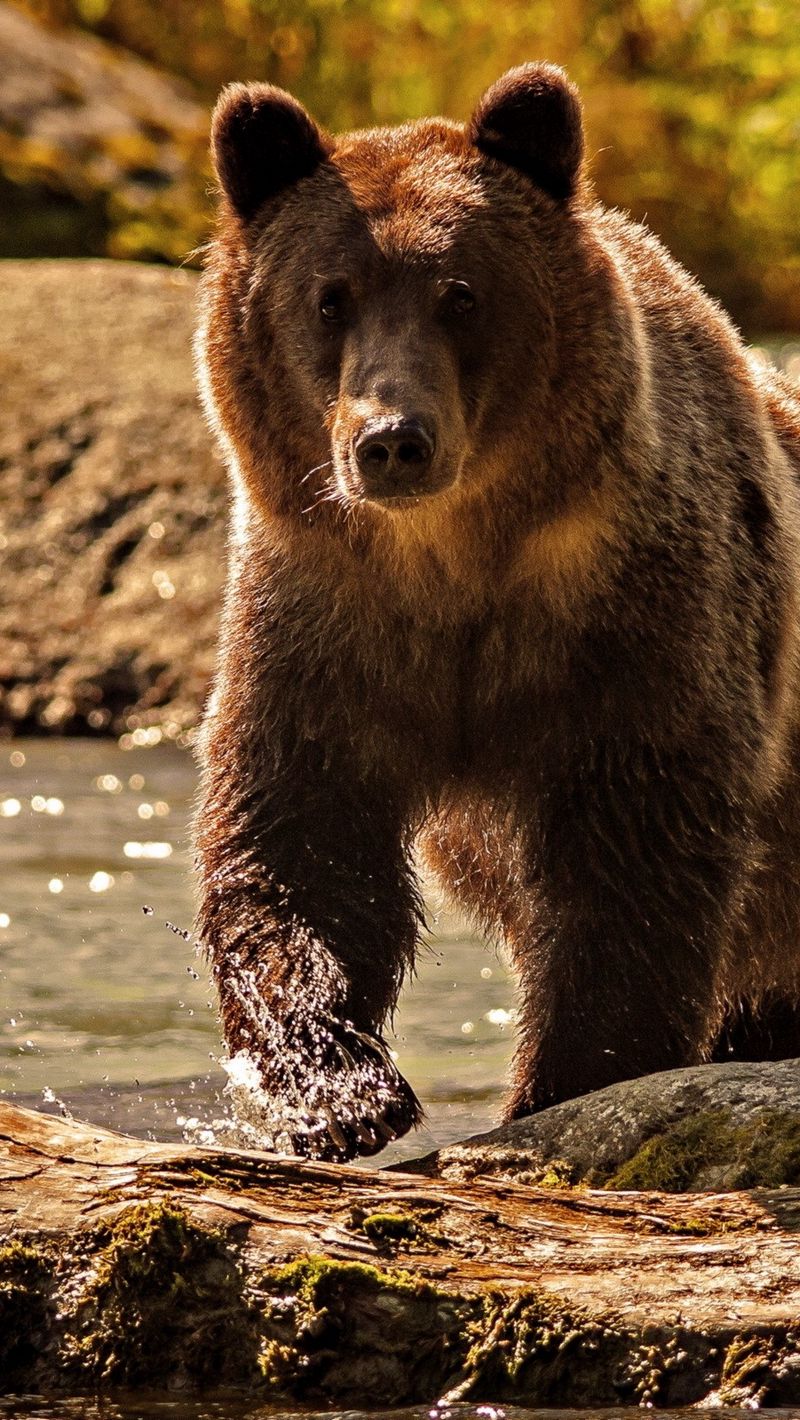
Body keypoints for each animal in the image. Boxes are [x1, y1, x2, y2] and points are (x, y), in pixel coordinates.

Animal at [194, 61, 800, 1158]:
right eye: (329, 298)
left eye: (460, 293)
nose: (393, 439)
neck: (455, 558)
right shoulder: (324, 616)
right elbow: (299, 836)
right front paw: (340, 1091)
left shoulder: (635, 619)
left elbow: (630, 862)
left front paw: (564, 1081)